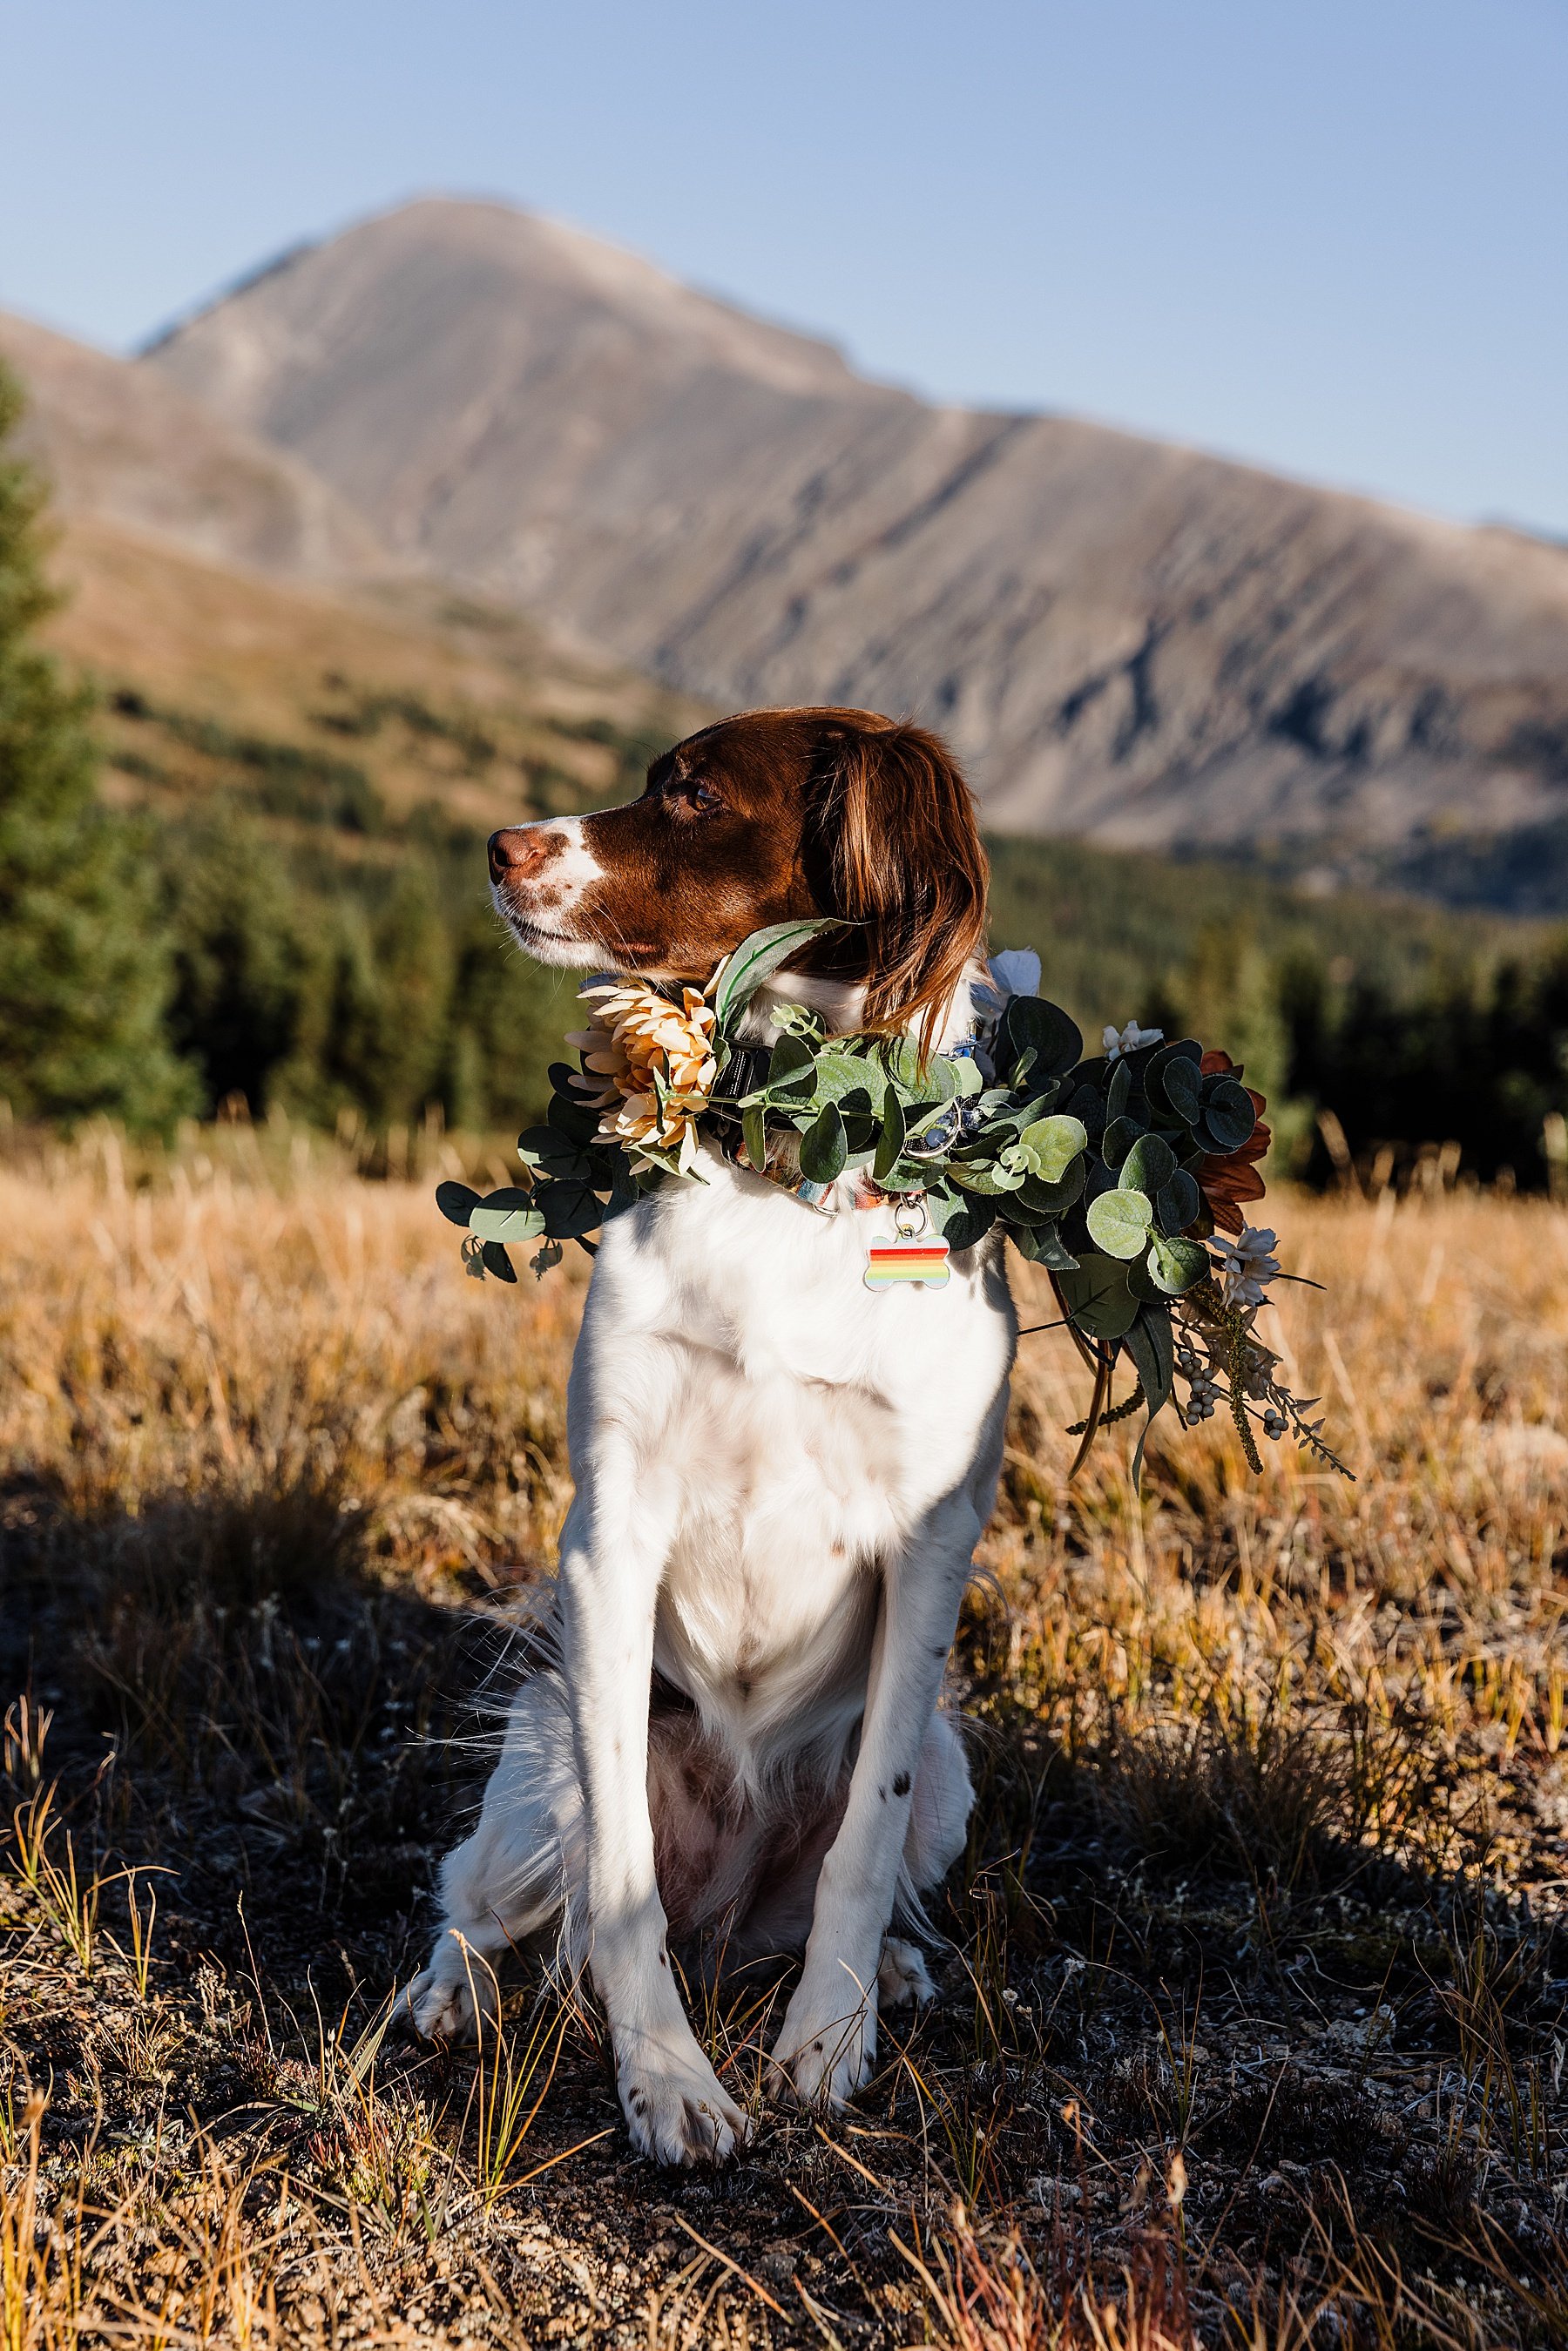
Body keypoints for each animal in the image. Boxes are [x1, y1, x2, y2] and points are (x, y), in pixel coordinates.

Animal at [404, 710, 1020, 2163]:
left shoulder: (933, 1544)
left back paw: (891, 1968)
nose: (499, 843)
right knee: (480, 1891)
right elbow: (619, 1866)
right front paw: (668, 2080)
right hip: (537, 1747)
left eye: (690, 790)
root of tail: (730, 1919)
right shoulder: (610, 1532)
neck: (787, 1170)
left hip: (953, 1768)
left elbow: (864, 1840)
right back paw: (452, 1990)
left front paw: (829, 2037)